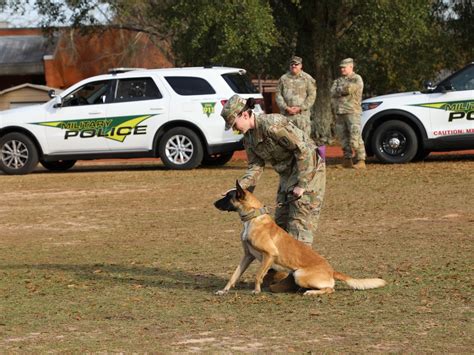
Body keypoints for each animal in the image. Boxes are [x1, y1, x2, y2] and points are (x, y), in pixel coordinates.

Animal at [213, 182, 386, 296]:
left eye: (228, 197)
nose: (214, 203)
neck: (253, 218)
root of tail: (331, 270)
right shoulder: (247, 256)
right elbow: (234, 275)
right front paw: (224, 290)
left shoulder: (270, 254)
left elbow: (258, 275)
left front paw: (256, 290)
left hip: (299, 274)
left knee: (331, 288)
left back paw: (311, 292)